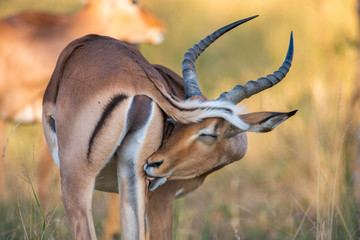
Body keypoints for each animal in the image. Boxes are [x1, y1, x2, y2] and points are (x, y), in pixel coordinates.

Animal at [43, 15, 296, 238]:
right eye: (175, 125)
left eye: (209, 132)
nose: (154, 164)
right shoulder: (161, 196)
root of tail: (137, 76)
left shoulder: (159, 197)